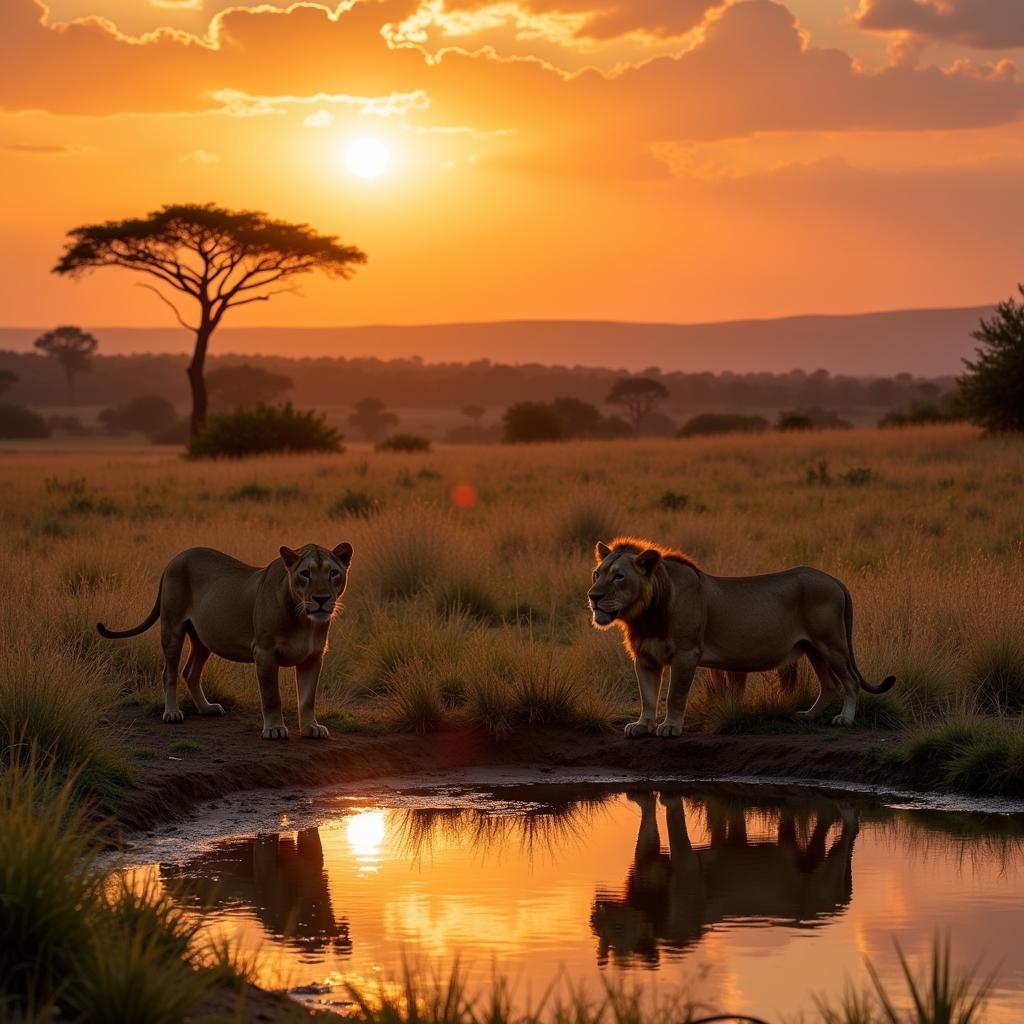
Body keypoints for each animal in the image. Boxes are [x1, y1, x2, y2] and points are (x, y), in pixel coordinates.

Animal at [96, 544, 352, 745]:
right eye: (305, 573)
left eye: (333, 573)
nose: (321, 599)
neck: (305, 621)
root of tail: (176, 558)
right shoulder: (264, 651)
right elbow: (271, 695)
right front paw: (275, 729)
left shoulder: (314, 656)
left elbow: (308, 697)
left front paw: (311, 728)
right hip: (172, 628)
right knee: (169, 673)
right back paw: (172, 713)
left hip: (203, 639)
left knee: (190, 672)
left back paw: (207, 708)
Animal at [593, 536, 897, 737]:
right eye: (597, 574)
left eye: (619, 577)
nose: (592, 596)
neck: (644, 617)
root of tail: (835, 580)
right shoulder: (644, 657)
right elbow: (647, 695)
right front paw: (642, 726)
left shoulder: (686, 653)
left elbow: (675, 694)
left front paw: (670, 726)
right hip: (813, 648)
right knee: (830, 684)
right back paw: (808, 715)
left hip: (832, 644)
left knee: (851, 681)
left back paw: (844, 719)